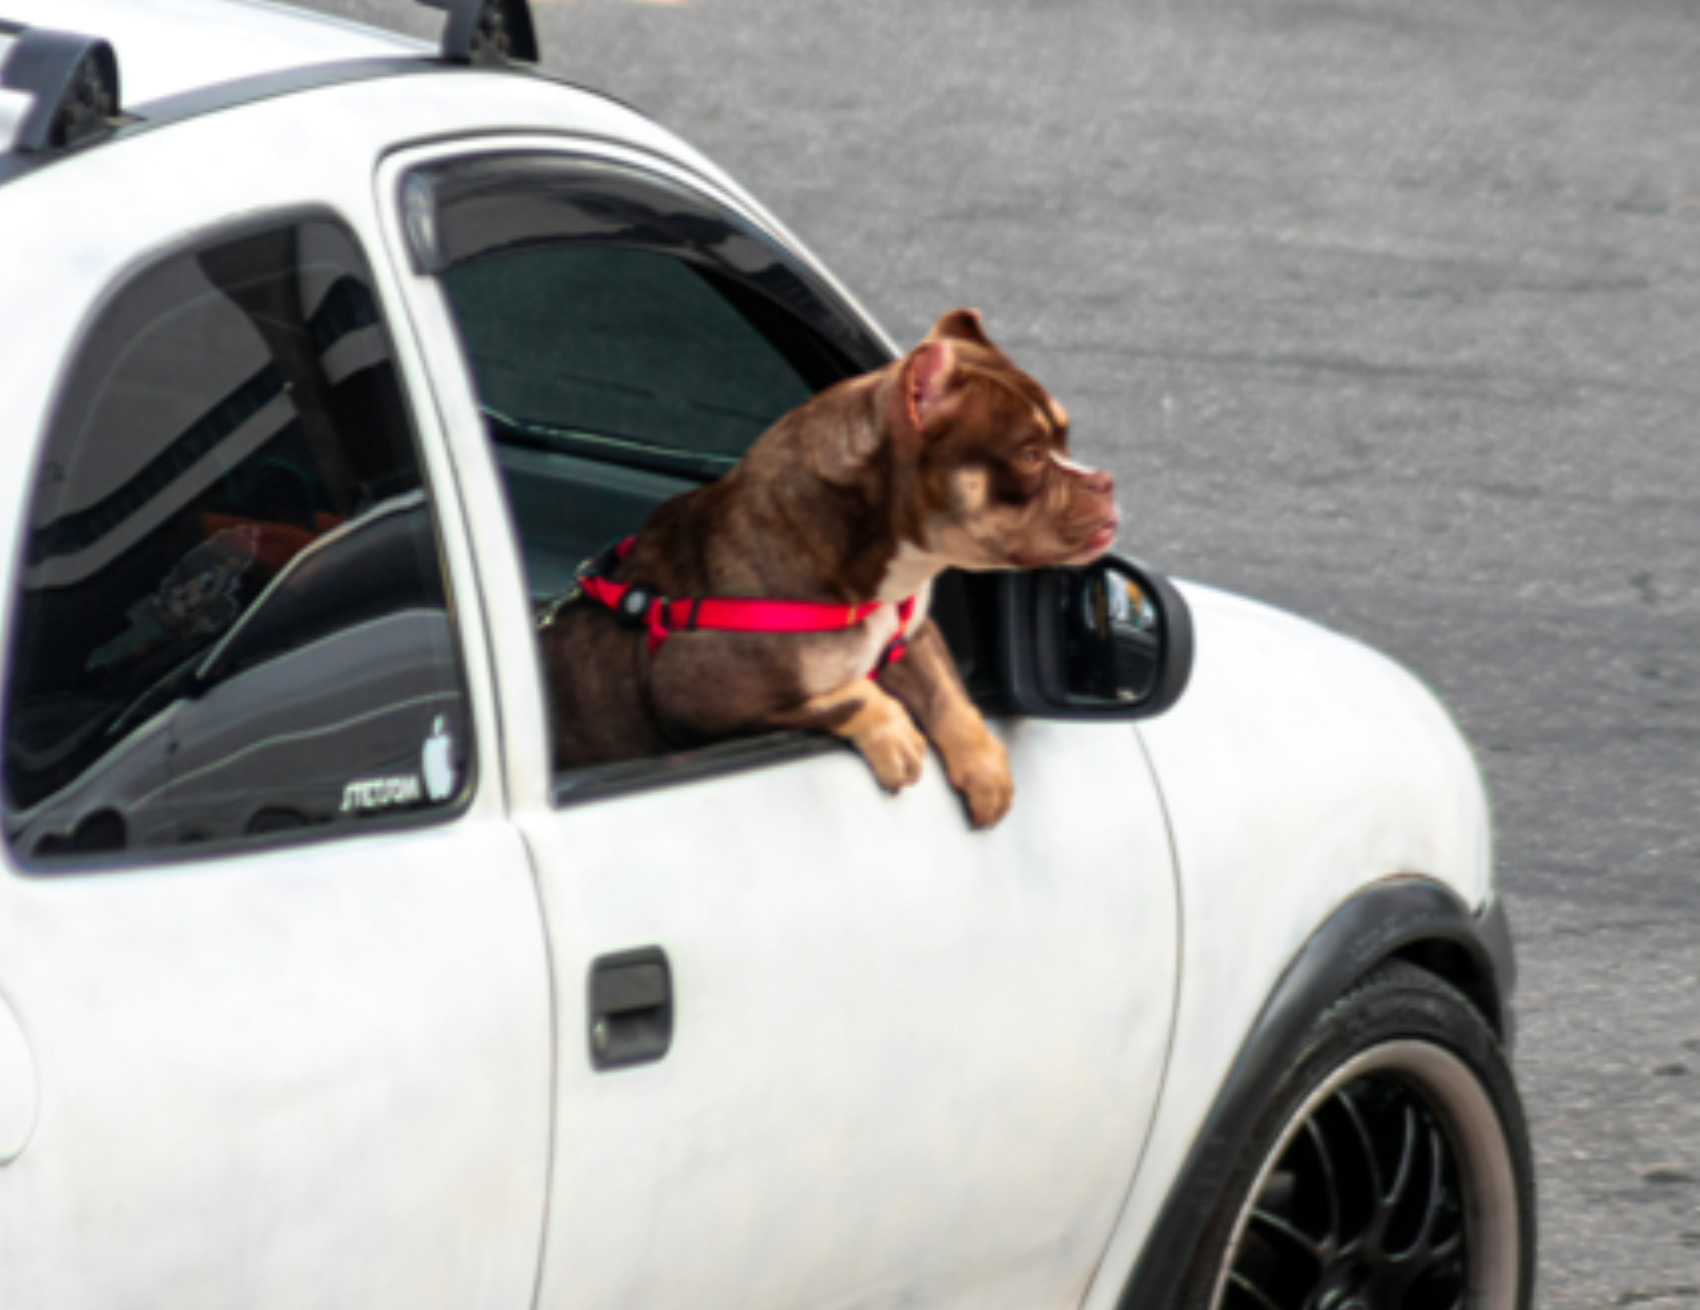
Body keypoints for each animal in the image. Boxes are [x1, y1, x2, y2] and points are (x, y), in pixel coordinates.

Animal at [544, 307, 1122, 825]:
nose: (1105, 481)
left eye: (1064, 438)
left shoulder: (912, 632)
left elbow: (947, 691)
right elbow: (845, 696)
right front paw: (893, 733)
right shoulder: (700, 698)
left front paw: (986, 768)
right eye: (1029, 456)